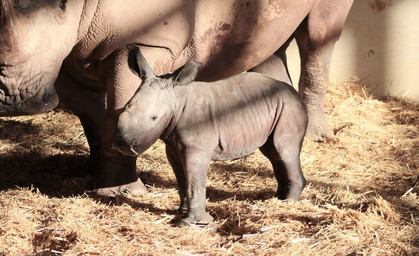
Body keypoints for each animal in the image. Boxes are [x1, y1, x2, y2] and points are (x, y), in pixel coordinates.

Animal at [0, 0, 354, 196]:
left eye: (60, 6)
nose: (12, 101)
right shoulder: (63, 56)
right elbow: (97, 118)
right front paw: (90, 173)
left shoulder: (144, 39)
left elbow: (116, 111)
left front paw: (119, 191)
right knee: (268, 40)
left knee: (319, 34)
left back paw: (317, 137)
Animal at [113, 45, 310, 226]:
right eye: (123, 109)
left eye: (154, 118)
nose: (122, 144)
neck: (177, 97)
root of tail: (295, 95)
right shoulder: (173, 147)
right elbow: (182, 179)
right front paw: (180, 212)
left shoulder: (197, 148)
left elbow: (194, 182)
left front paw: (192, 223)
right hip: (278, 106)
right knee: (273, 153)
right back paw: (278, 198)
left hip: (289, 107)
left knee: (283, 150)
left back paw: (288, 203)